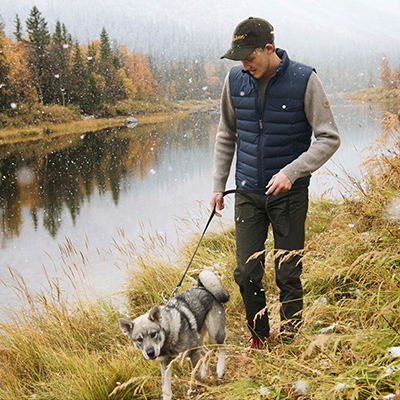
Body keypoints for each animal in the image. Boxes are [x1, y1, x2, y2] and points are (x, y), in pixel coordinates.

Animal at [118, 270, 228, 398]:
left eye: (153, 334)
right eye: (139, 339)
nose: (150, 353)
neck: (167, 339)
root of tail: (202, 287)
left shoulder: (193, 352)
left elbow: (195, 374)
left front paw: (201, 380)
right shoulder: (165, 363)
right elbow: (165, 388)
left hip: (215, 335)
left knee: (222, 348)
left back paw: (219, 369)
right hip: (199, 340)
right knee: (207, 352)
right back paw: (205, 372)